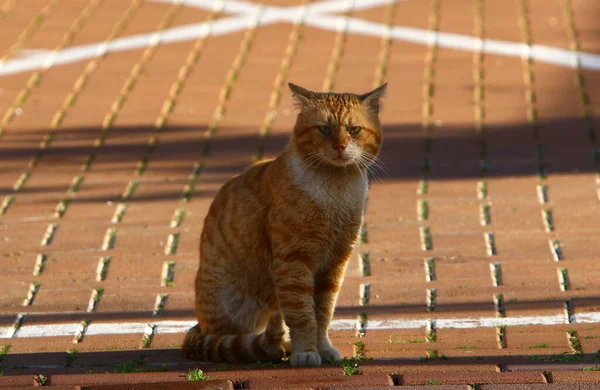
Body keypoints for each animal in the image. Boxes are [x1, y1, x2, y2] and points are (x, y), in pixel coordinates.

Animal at [180, 80, 386, 368]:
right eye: (324, 129)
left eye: (354, 130)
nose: (340, 147)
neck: (336, 191)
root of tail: (198, 327)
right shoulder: (293, 261)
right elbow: (302, 315)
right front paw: (306, 352)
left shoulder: (334, 264)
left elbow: (323, 314)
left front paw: (323, 348)